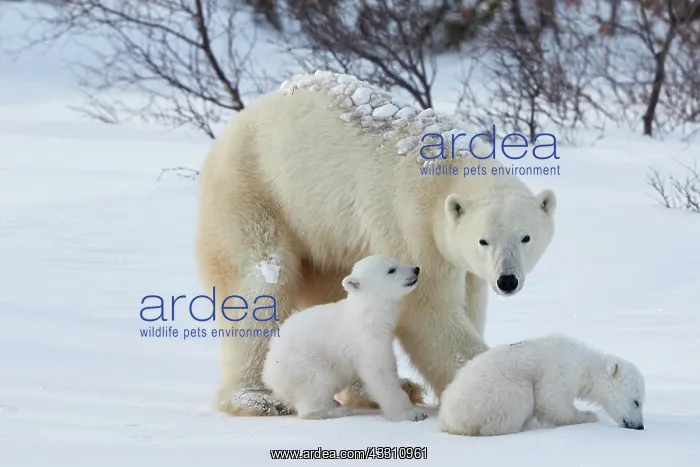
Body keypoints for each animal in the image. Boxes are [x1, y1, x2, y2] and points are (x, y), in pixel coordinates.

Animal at [262, 255, 428, 421]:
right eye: (391, 270)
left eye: (397, 261)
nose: (416, 269)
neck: (367, 313)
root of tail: (268, 375)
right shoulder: (366, 340)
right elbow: (379, 373)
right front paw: (410, 413)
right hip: (303, 365)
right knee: (316, 387)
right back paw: (337, 410)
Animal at [438, 334, 646, 436]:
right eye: (636, 401)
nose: (639, 427)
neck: (584, 365)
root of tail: (448, 417)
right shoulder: (561, 369)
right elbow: (550, 399)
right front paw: (589, 415)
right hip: (493, 394)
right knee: (518, 399)